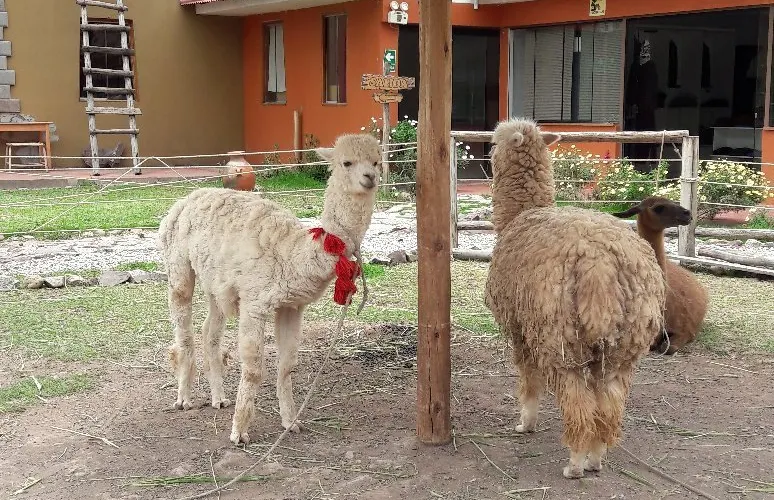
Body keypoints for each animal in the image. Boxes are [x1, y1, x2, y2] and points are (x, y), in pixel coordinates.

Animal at [157, 133, 381, 445]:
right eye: (346, 162)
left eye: (377, 160)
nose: (370, 177)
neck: (294, 252)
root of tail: (190, 196)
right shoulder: (255, 302)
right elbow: (252, 369)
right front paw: (239, 432)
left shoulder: (291, 306)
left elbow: (287, 365)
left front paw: (291, 422)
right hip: (178, 264)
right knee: (183, 329)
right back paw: (184, 398)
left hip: (217, 282)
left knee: (209, 332)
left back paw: (219, 398)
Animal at [483, 118, 666, 479]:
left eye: (496, 142)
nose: (487, 153)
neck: (520, 215)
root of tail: (600, 264)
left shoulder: (520, 327)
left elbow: (528, 378)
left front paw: (526, 422)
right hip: (623, 342)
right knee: (608, 403)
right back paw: (595, 457)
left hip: (561, 336)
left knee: (578, 401)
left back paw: (575, 463)